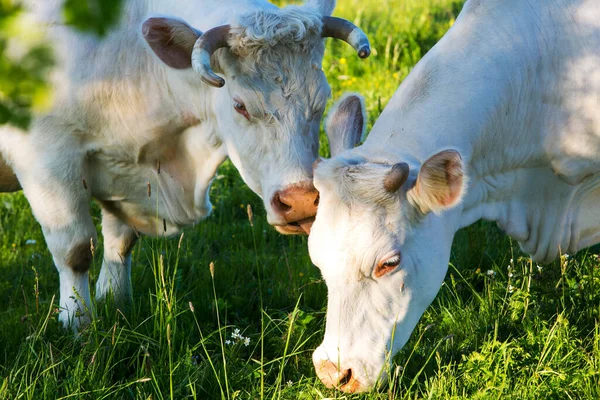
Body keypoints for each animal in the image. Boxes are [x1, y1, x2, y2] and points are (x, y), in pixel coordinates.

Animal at [0, 0, 370, 330]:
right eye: (240, 105)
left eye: (321, 100)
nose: (302, 201)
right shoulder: (45, 156)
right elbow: (75, 249)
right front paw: (78, 324)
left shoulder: (123, 171)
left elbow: (120, 242)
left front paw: (115, 303)